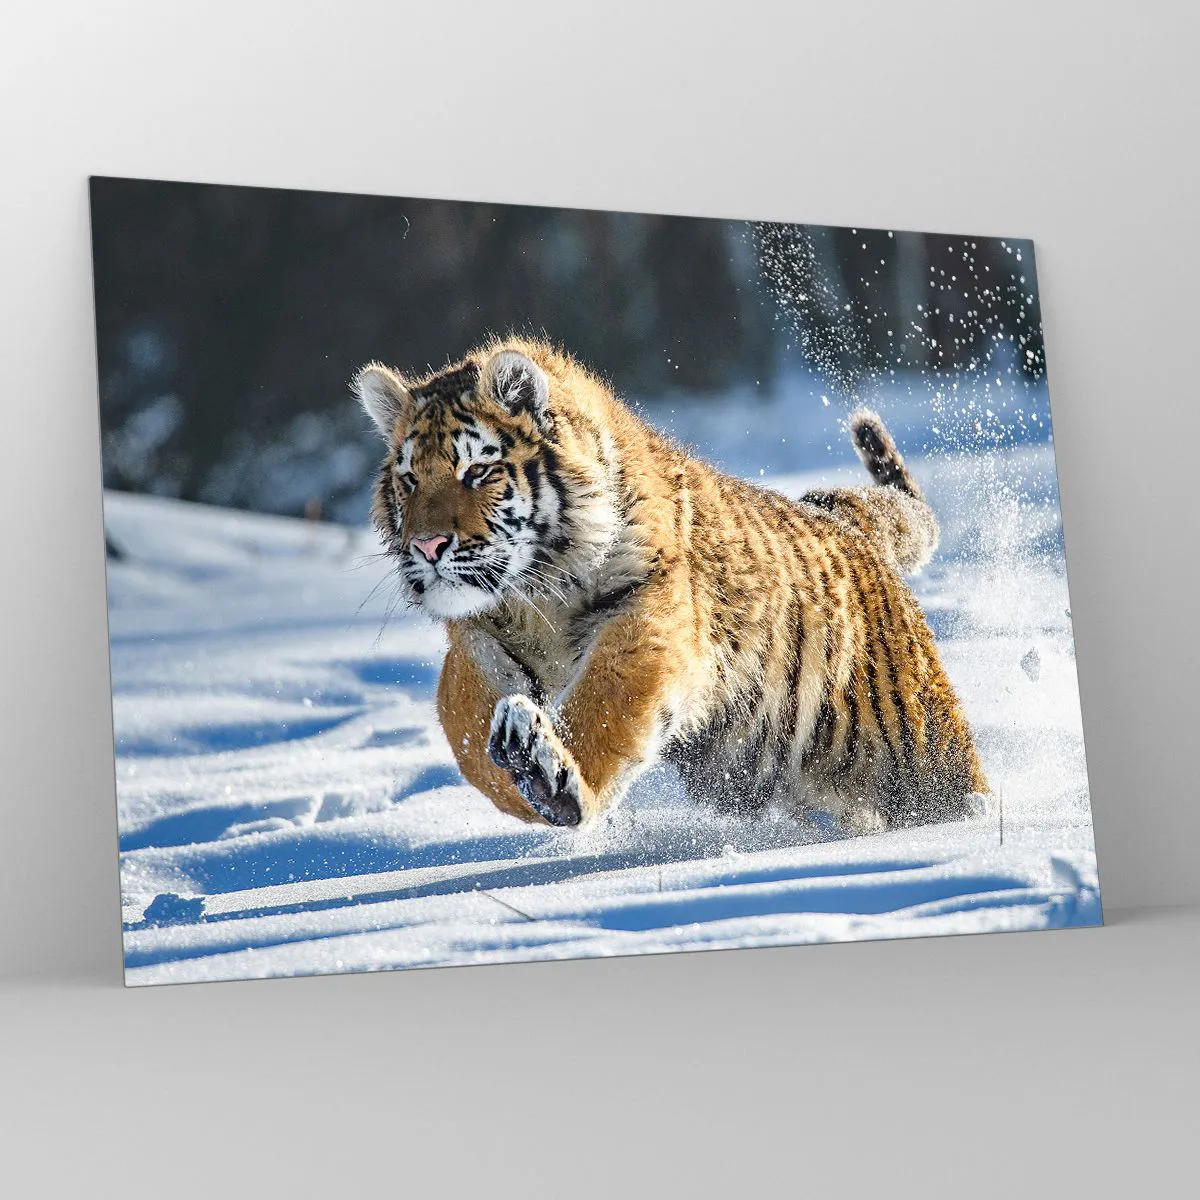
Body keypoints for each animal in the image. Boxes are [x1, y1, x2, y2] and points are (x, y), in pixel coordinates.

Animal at [354, 336, 987, 836]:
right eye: (409, 481)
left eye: (477, 471)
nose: (427, 547)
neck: (534, 592)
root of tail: (847, 522)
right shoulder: (476, 642)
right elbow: (466, 732)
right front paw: (518, 772)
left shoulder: (647, 615)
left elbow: (603, 704)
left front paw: (553, 779)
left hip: (921, 747)